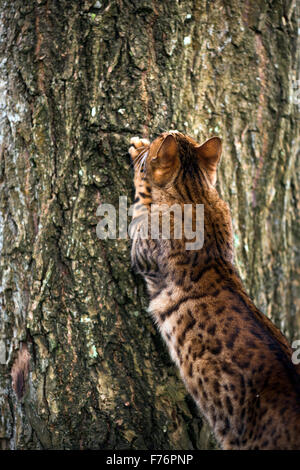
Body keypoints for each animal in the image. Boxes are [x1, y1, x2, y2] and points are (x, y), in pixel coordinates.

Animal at [128, 130, 300, 450]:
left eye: (161, 136)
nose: (159, 132)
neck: (196, 196)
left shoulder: (142, 254)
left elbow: (142, 200)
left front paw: (139, 152)